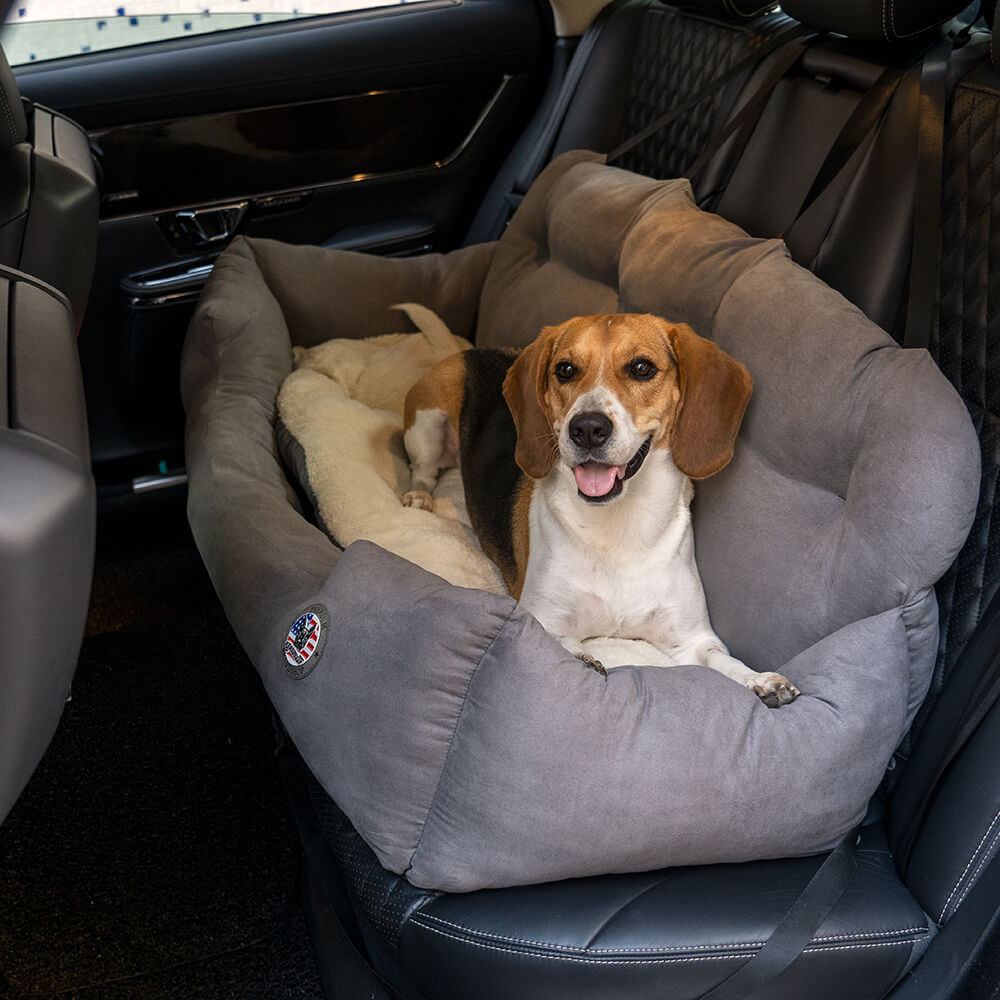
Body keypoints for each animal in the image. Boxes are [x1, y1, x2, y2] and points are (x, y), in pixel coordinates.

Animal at [402, 314, 800, 712]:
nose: (588, 428)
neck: (621, 529)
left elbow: (721, 660)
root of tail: (475, 351)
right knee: (424, 469)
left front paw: (758, 679)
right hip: (427, 425)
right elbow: (560, 639)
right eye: (565, 370)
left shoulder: (691, 638)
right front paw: (581, 655)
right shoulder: (538, 615)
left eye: (642, 368)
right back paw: (419, 496)